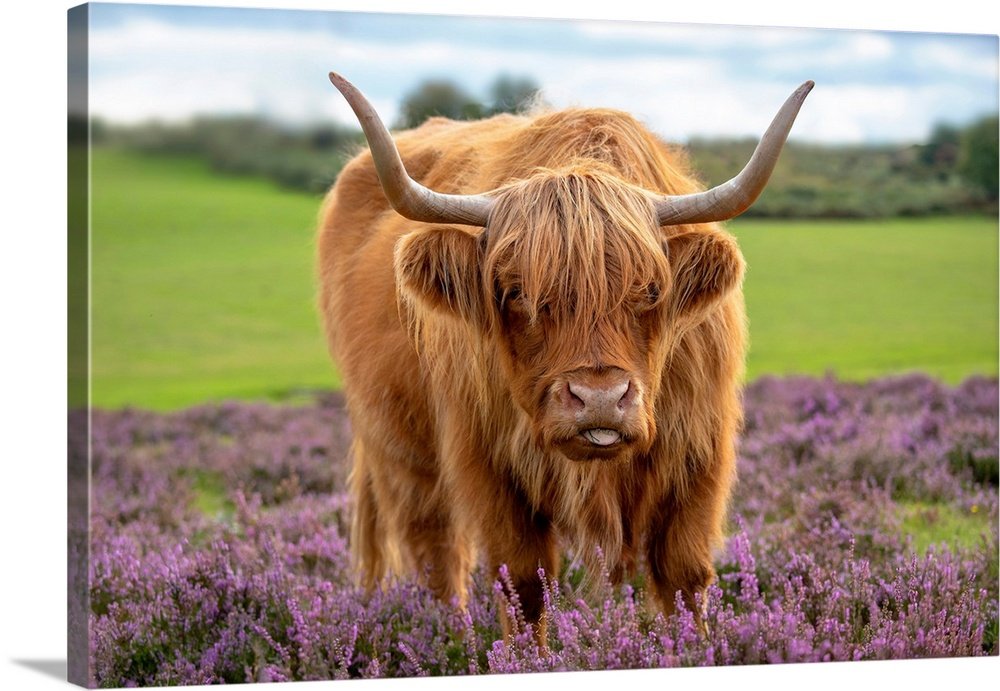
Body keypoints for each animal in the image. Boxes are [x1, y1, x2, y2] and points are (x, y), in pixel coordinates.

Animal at [317, 72, 812, 637]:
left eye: (650, 290)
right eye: (516, 292)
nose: (599, 399)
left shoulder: (698, 454)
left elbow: (683, 577)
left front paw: (694, 647)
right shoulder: (490, 465)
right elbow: (522, 585)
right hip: (402, 452)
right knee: (437, 554)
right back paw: (451, 635)